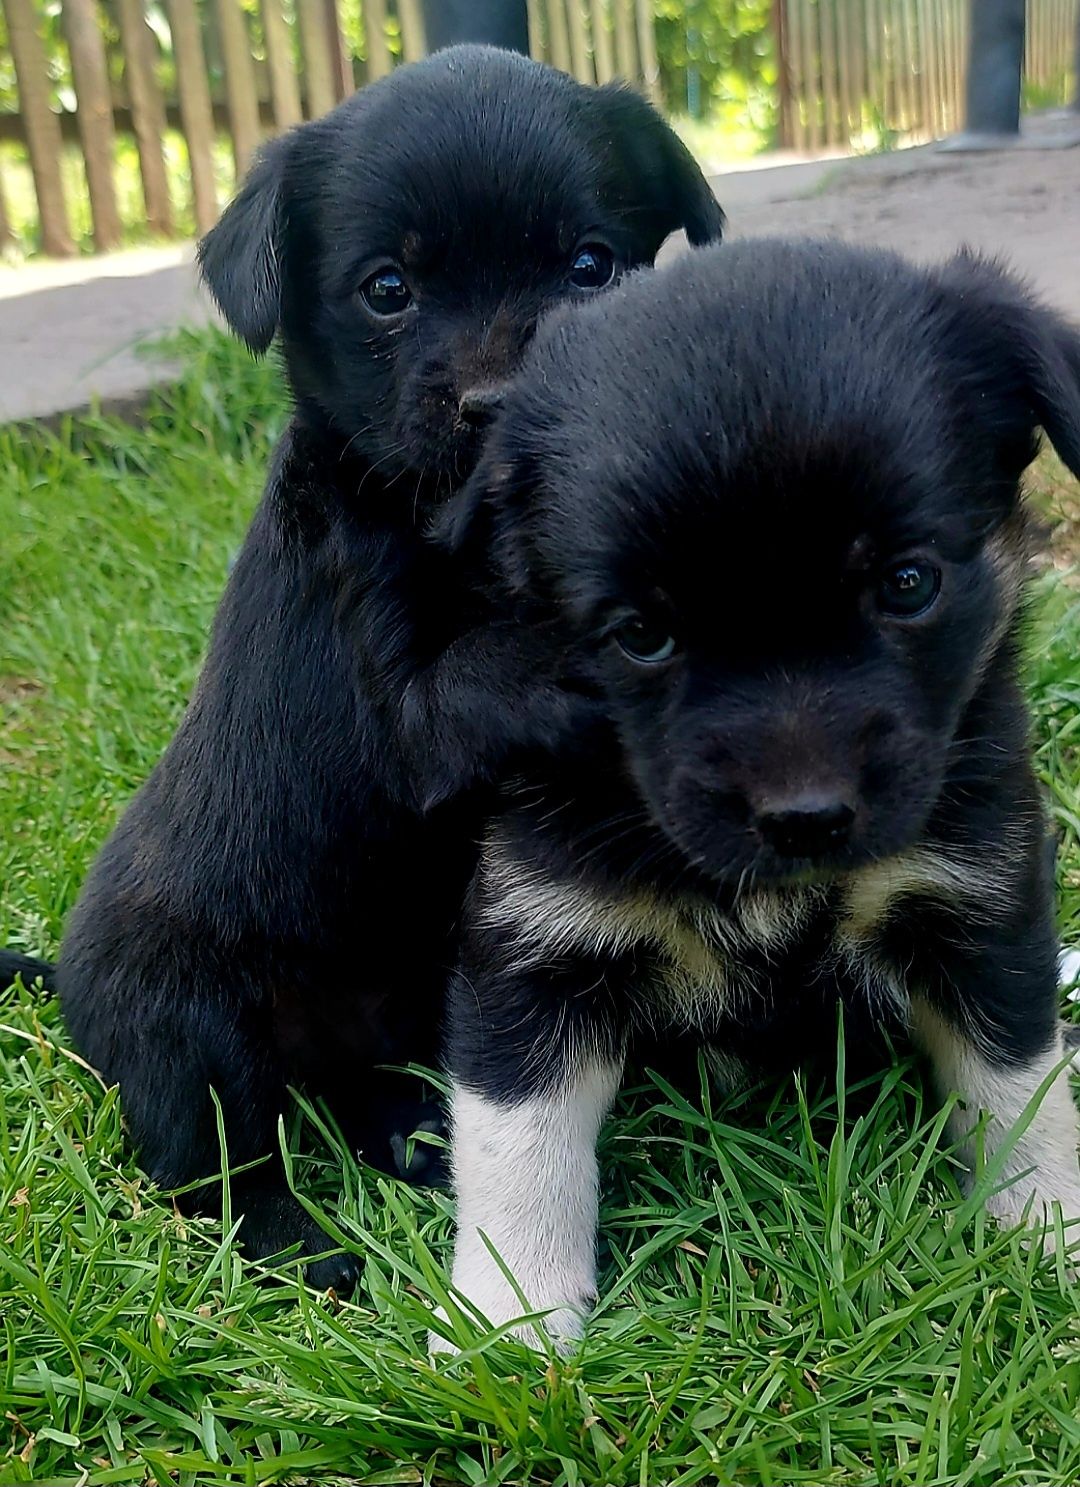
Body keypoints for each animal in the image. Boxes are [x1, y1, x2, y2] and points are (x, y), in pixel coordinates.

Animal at [35, 43, 728, 1290]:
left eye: (590, 266)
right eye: (387, 289)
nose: (502, 407)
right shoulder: (400, 706)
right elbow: (497, 666)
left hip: (403, 993)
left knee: (359, 1088)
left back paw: (414, 1132)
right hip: (188, 1028)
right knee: (210, 1167)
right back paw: (300, 1244)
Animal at [434, 234, 1080, 1350]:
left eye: (908, 583)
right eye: (641, 632)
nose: (804, 817)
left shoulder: (979, 901)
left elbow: (1019, 1087)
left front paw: (1051, 1230)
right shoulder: (535, 942)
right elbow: (516, 1145)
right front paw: (504, 1323)